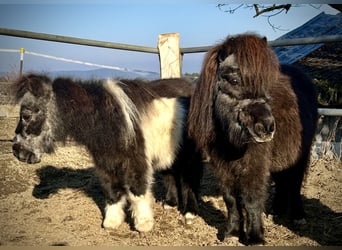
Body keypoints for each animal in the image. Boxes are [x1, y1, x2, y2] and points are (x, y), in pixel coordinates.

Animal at [12, 73, 202, 232]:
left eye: (26, 115)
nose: (17, 152)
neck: (106, 118)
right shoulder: (106, 162)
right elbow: (112, 191)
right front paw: (112, 221)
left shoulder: (136, 161)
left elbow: (137, 191)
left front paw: (144, 224)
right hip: (169, 153)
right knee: (171, 174)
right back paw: (170, 203)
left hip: (190, 156)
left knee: (189, 179)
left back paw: (189, 213)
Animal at [187, 33, 318, 244]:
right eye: (233, 79)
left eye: (265, 83)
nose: (267, 127)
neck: (230, 141)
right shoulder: (221, 166)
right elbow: (231, 199)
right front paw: (232, 233)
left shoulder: (254, 165)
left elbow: (251, 199)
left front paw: (255, 237)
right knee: (282, 181)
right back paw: (277, 210)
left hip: (301, 154)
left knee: (296, 182)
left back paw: (298, 216)